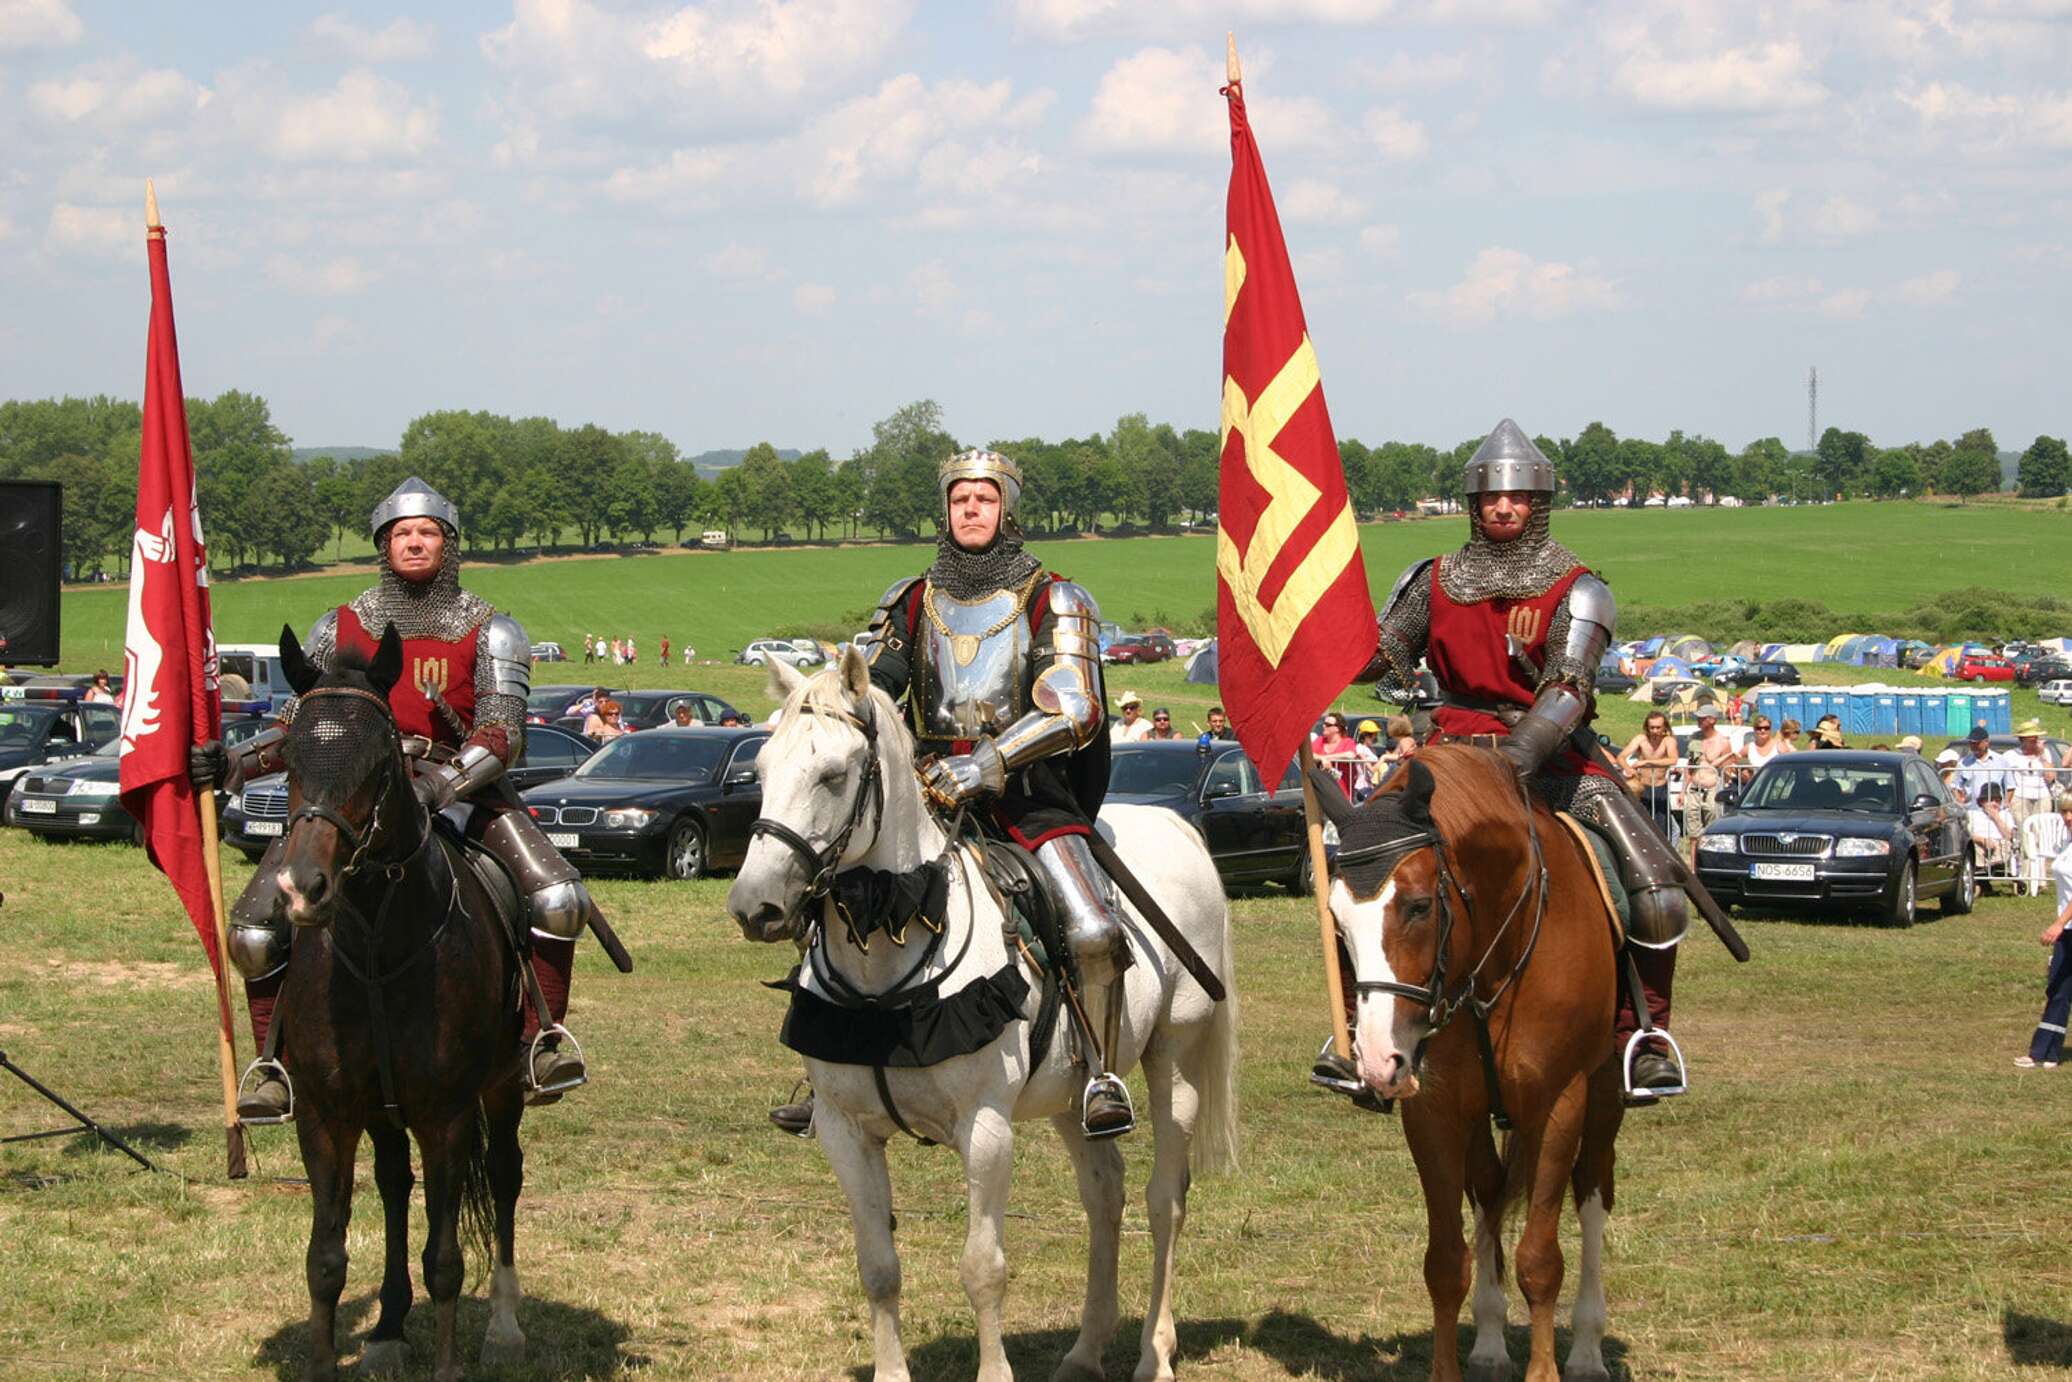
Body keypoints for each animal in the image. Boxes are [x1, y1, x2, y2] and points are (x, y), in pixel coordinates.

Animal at [275, 629, 530, 1382]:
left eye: (377, 761)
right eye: (288, 758)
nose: (302, 888)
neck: (379, 942)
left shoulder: (446, 1115)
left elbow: (445, 1259)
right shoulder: (326, 1116)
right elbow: (325, 1261)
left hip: (503, 1086)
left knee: (504, 1177)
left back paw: (504, 1326)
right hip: (381, 1112)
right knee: (393, 1183)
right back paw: (388, 1325)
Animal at [725, 650, 1226, 1382]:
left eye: (834, 775)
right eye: (760, 772)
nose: (754, 906)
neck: (888, 957)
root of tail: (1174, 824)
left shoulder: (986, 1129)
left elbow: (982, 1268)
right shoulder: (846, 1133)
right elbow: (878, 1267)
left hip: (1177, 1059)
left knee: (1165, 1202)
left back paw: (1153, 1355)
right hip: (1071, 1094)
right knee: (1105, 1195)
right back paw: (1085, 1350)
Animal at [1309, 745, 1632, 1382]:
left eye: (1417, 906)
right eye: (1338, 922)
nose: (1378, 1060)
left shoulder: (1559, 1105)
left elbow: (1540, 1259)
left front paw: (1545, 1371)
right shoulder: (1433, 1111)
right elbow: (1444, 1261)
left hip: (1604, 1096)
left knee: (1591, 1193)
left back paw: (1586, 1349)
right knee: (1486, 1190)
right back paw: (1487, 1341)